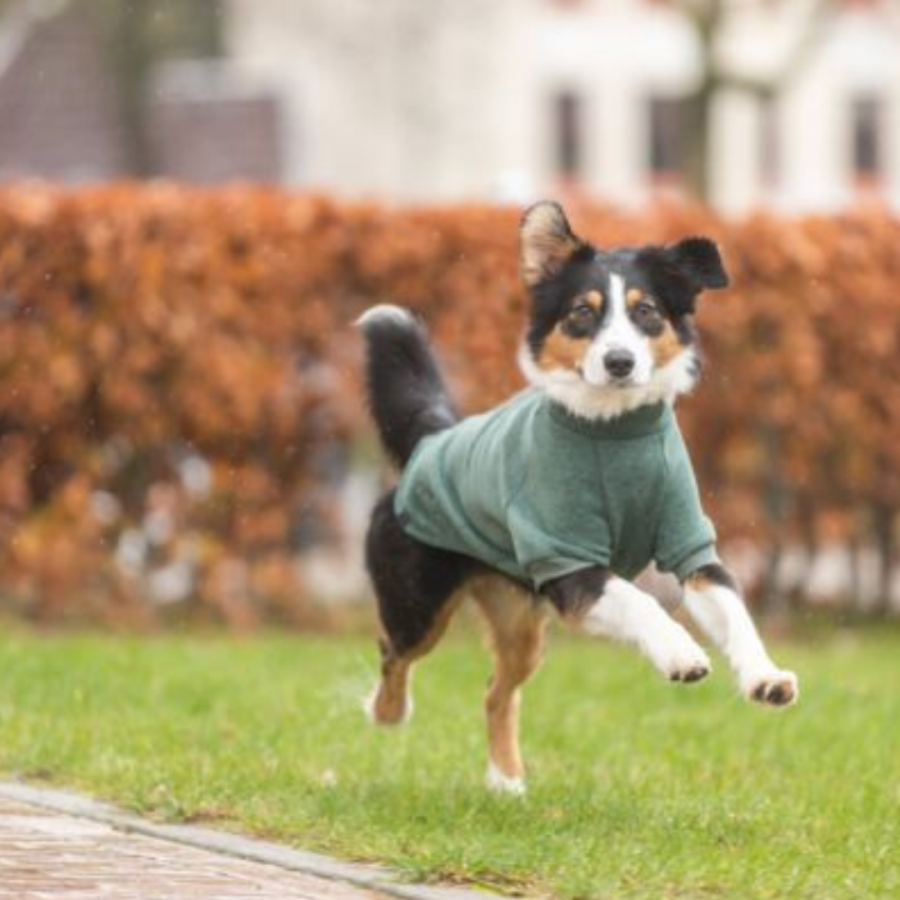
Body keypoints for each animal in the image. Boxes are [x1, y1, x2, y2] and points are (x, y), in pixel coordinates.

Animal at [356, 202, 800, 796]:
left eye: (646, 311)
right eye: (582, 313)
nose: (619, 362)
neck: (613, 432)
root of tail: (432, 441)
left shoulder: (690, 544)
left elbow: (733, 608)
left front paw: (765, 677)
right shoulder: (568, 561)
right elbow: (639, 601)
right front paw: (681, 652)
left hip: (520, 621)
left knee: (496, 690)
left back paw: (507, 783)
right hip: (416, 601)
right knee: (395, 653)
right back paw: (388, 712)